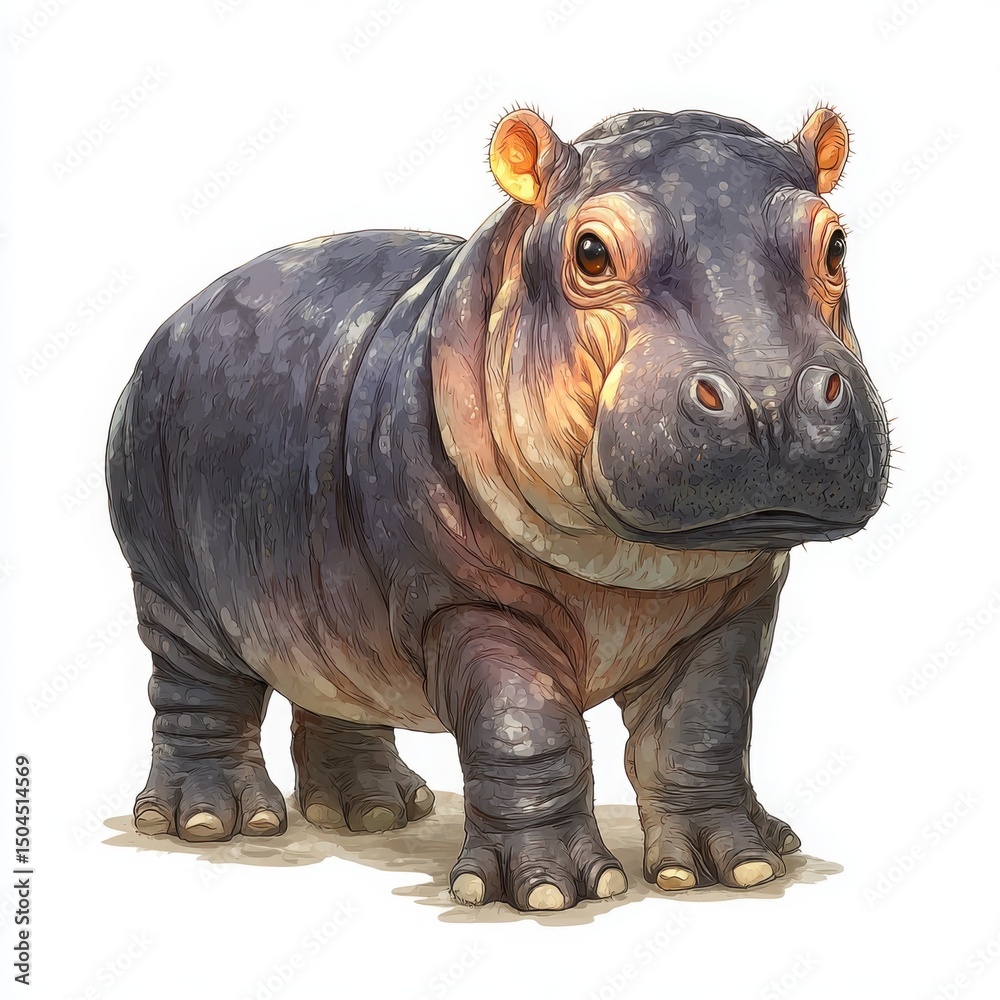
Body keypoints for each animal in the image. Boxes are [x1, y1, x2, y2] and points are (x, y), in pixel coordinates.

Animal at [106, 103, 889, 911]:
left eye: (836, 242)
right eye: (590, 252)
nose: (771, 401)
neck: (636, 570)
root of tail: (179, 313)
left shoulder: (737, 601)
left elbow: (702, 728)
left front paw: (734, 865)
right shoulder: (463, 600)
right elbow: (525, 725)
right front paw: (550, 888)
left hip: (316, 587)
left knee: (331, 681)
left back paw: (376, 810)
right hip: (170, 583)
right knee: (195, 690)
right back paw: (213, 820)